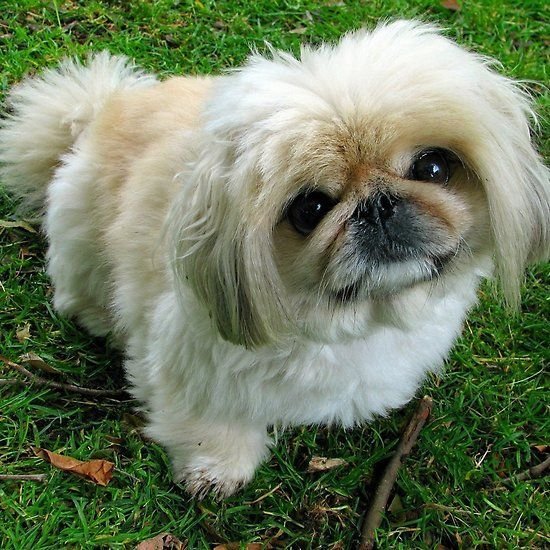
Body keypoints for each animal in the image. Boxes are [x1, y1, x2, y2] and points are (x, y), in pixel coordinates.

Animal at [1, 21, 550, 498]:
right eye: (311, 209)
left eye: (433, 167)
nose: (379, 204)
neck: (354, 322)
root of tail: (101, 109)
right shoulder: (191, 360)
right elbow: (208, 422)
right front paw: (216, 469)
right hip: (79, 232)